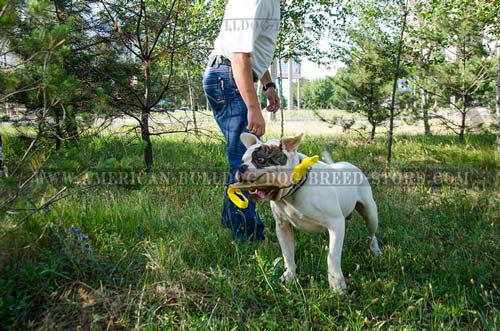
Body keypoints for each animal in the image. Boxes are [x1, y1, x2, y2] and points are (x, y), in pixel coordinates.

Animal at [236, 132, 380, 294]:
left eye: (260, 160)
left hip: (370, 212)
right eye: (243, 160)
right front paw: (289, 275)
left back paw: (375, 251)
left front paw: (336, 284)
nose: (241, 167)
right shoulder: (283, 227)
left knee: (371, 233)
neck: (293, 191)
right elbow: (287, 254)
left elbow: (333, 257)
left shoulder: (336, 224)